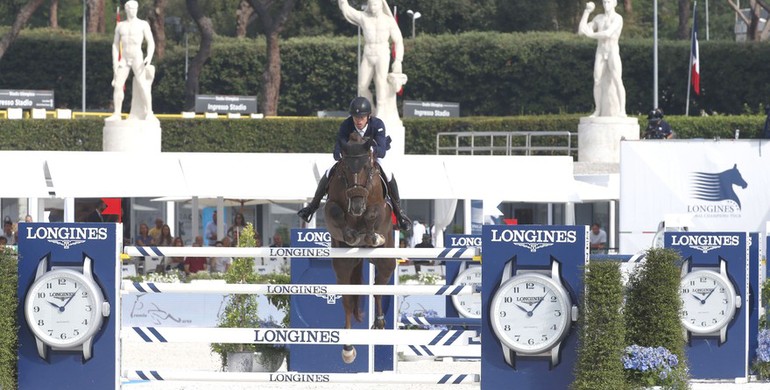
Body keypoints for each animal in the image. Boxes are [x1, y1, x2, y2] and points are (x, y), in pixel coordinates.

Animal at [324, 133, 396, 364]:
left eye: (367, 167)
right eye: (345, 168)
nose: (356, 205)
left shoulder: (380, 207)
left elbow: (373, 213)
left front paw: (372, 235)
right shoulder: (331, 206)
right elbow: (336, 212)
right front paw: (351, 235)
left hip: (386, 261)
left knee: (379, 289)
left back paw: (380, 323)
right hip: (343, 268)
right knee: (348, 303)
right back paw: (347, 349)